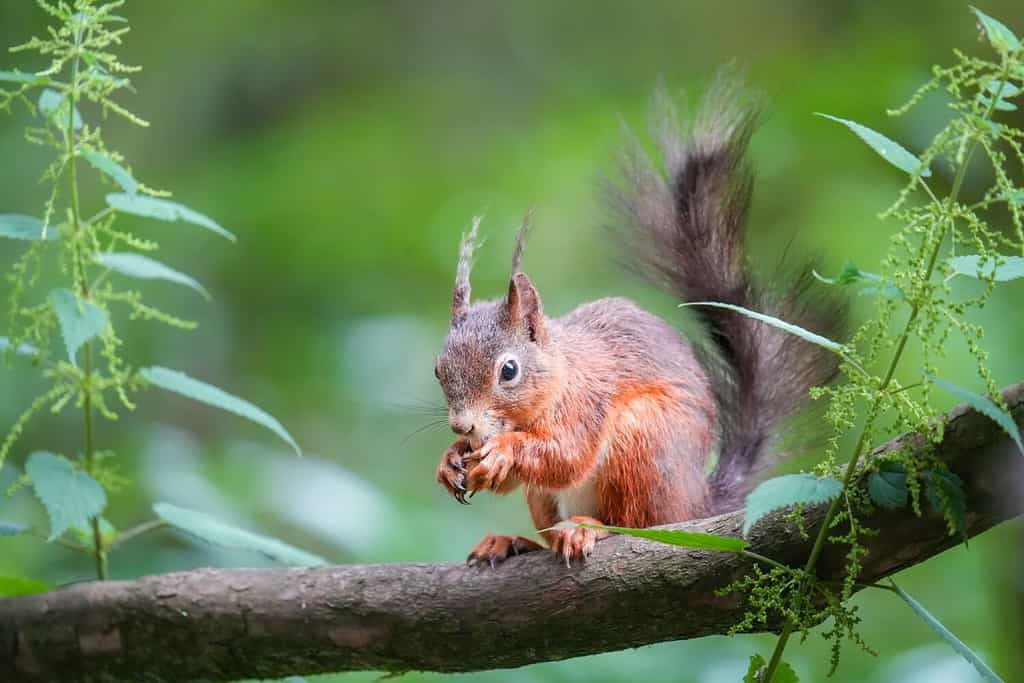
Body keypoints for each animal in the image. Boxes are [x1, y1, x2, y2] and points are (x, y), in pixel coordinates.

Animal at [433, 77, 845, 567]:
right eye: (438, 370)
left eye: (509, 371)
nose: (463, 428)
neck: (560, 373)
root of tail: (694, 506)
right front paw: (450, 460)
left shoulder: (588, 402)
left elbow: (567, 455)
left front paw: (501, 452)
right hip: (553, 496)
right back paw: (513, 541)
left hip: (644, 441)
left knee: (635, 523)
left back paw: (587, 528)